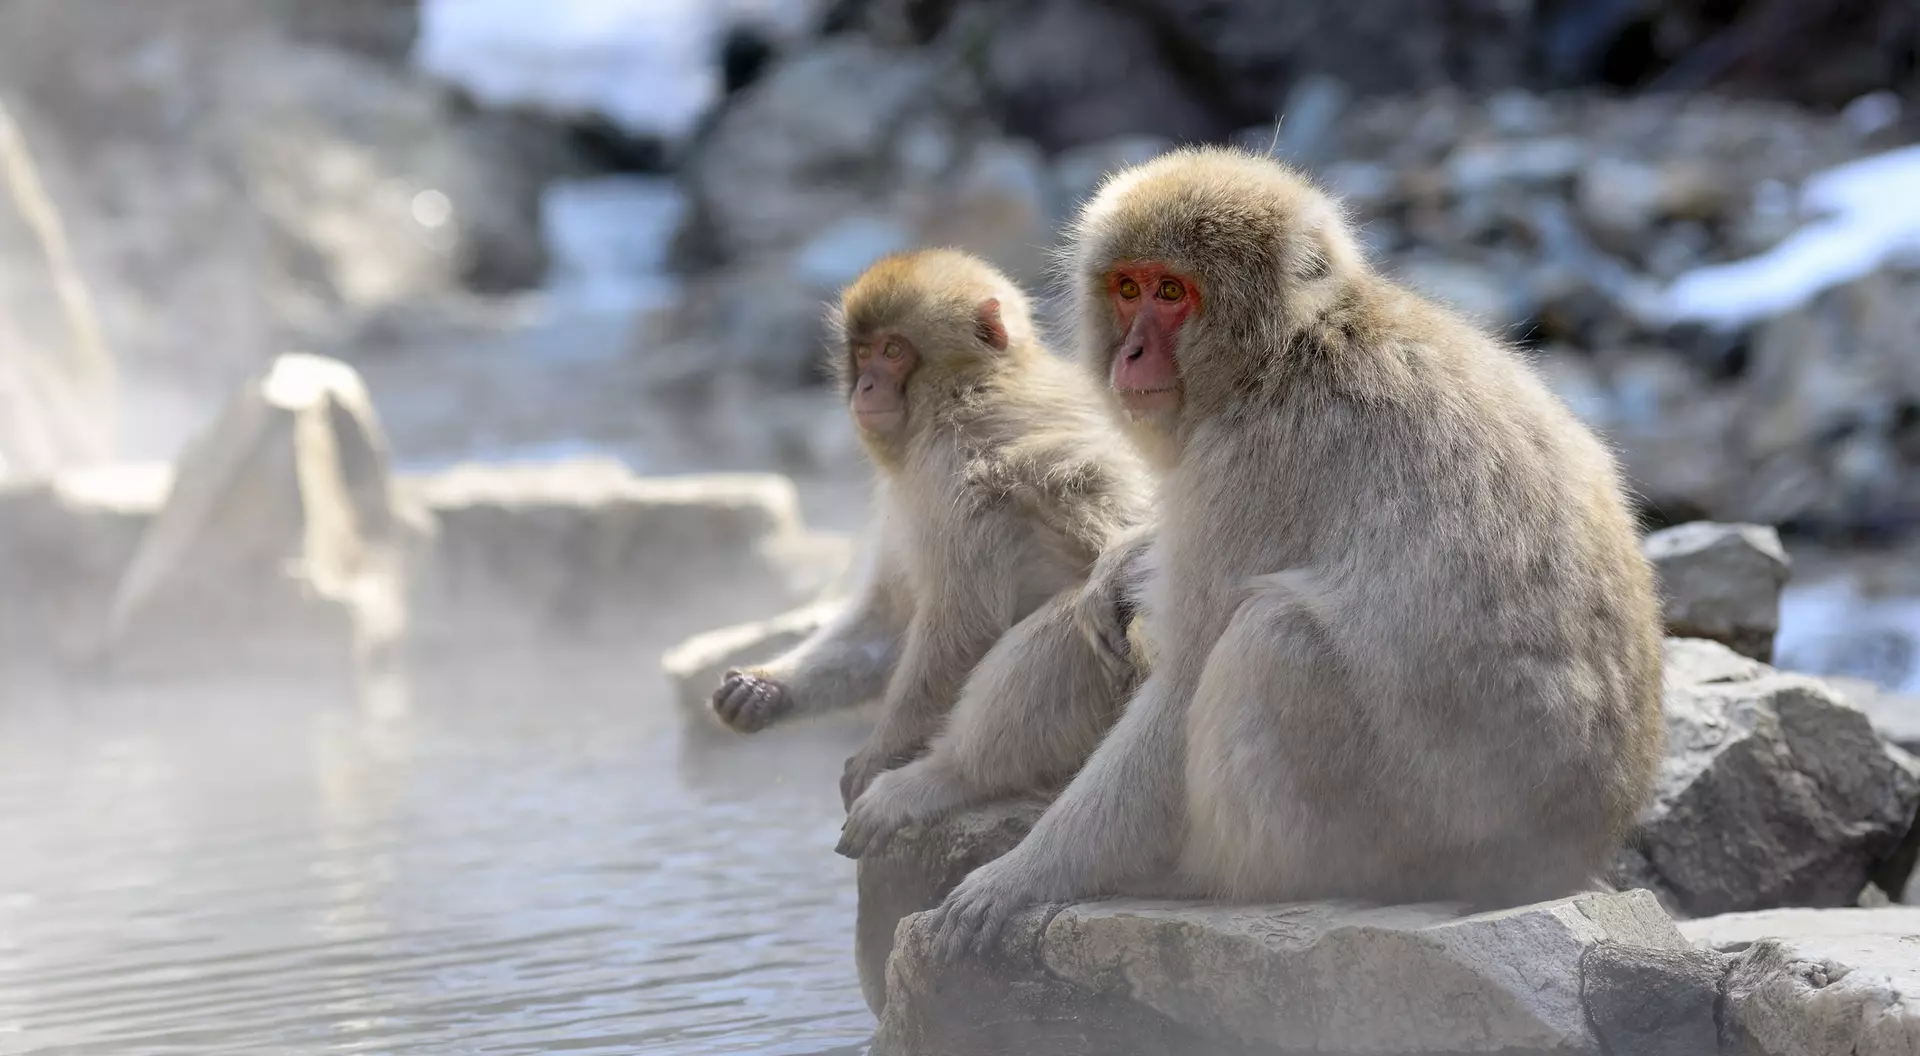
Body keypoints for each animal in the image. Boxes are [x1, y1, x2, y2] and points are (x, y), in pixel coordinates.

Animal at [708, 249, 1154, 809]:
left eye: (894, 350)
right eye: (864, 351)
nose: (866, 386)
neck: (965, 388)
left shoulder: (951, 467)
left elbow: (963, 624)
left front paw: (881, 755)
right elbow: (890, 622)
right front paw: (764, 690)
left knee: (1080, 611)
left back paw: (946, 777)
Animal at [927, 146, 1666, 961]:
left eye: (1172, 292)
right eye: (1127, 288)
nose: (1131, 352)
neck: (1286, 353)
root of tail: (1578, 846)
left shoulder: (1255, 460)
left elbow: (1184, 683)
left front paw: (1027, 873)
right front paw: (1122, 561)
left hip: (1427, 829)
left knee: (1274, 637)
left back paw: (1214, 879)